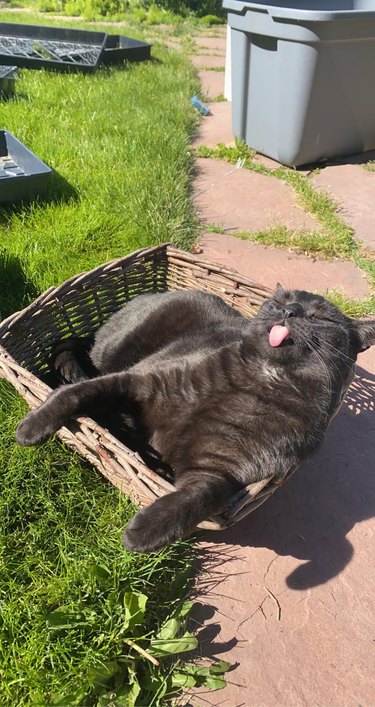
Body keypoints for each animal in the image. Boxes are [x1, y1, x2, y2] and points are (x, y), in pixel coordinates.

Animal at [15, 286, 375, 552]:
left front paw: (142, 533)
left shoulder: (220, 471)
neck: (265, 378)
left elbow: (198, 499)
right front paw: (31, 428)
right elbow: (74, 394)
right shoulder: (136, 381)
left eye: (320, 317)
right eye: (281, 301)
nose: (290, 310)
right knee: (78, 356)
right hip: (111, 354)